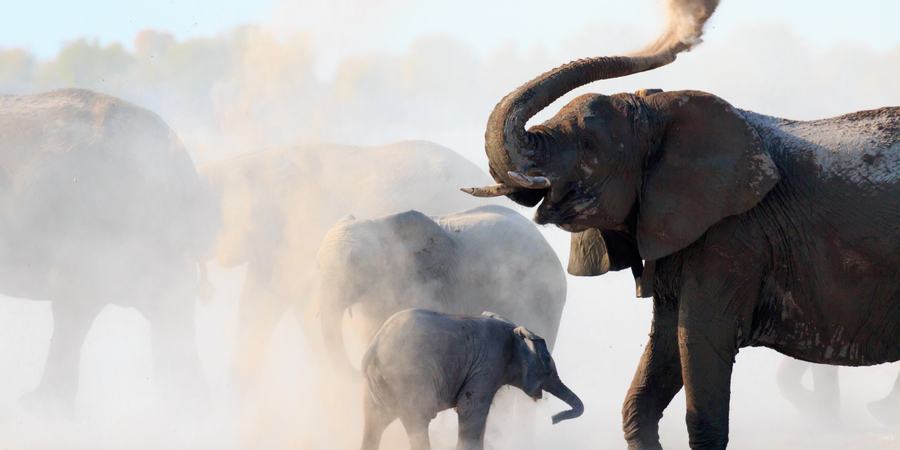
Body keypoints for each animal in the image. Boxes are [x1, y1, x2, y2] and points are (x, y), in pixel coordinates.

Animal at [360, 308, 583, 450]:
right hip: (409, 378)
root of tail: (374, 347)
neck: (513, 329)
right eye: (547, 361)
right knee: (418, 423)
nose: (554, 419)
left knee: (374, 424)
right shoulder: (488, 364)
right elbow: (470, 409)